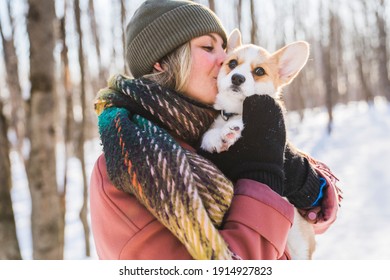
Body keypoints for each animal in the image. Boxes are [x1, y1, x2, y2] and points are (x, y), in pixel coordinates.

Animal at [203, 29, 316, 260]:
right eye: (232, 63)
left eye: (259, 71)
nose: (237, 77)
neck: (235, 110)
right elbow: (210, 134)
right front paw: (217, 139)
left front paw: (234, 129)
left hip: (300, 241)